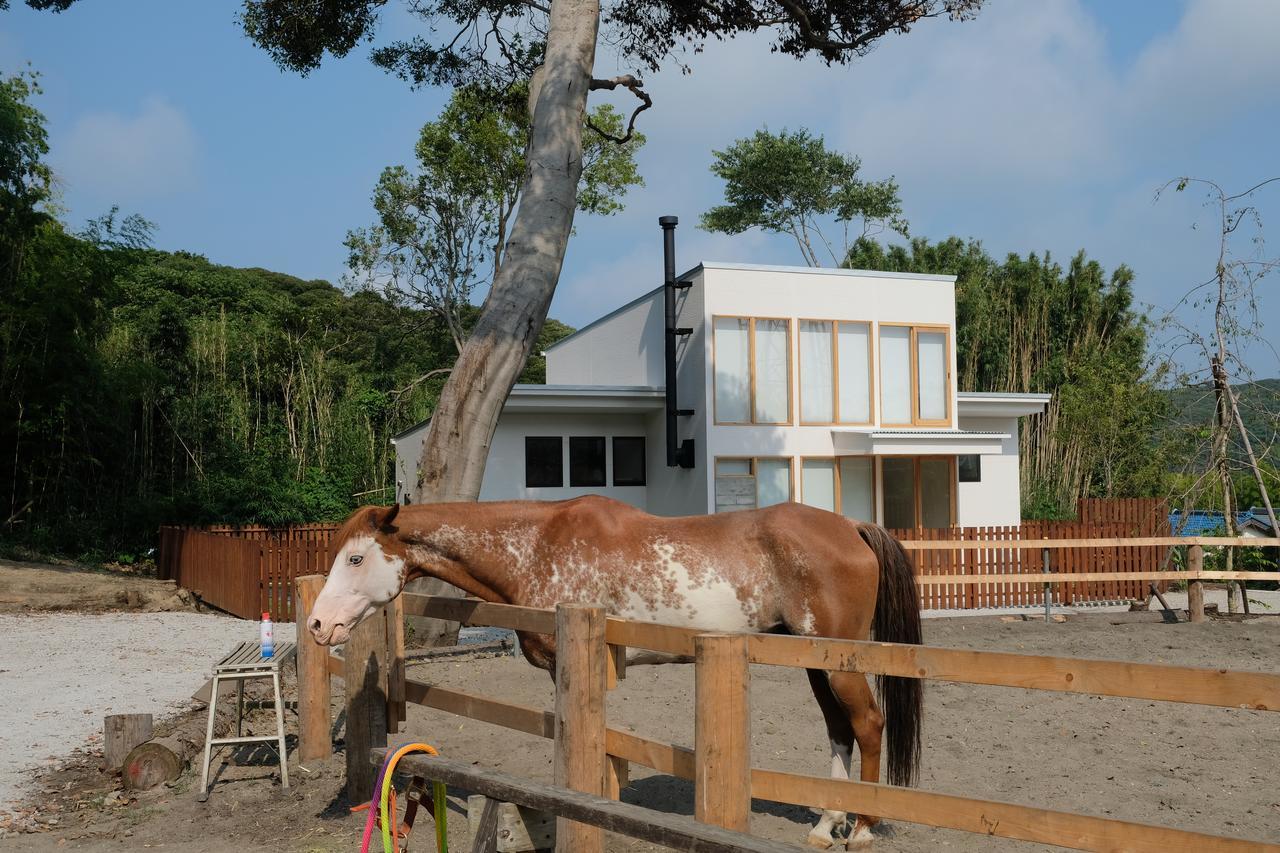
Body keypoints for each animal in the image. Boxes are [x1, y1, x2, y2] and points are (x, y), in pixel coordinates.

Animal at [307, 491, 921, 845]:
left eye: (356, 558)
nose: (318, 625)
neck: (537, 545)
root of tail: (852, 526)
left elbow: (578, 739)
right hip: (812, 660)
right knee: (839, 729)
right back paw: (826, 823)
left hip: (840, 662)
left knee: (867, 725)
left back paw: (863, 829)